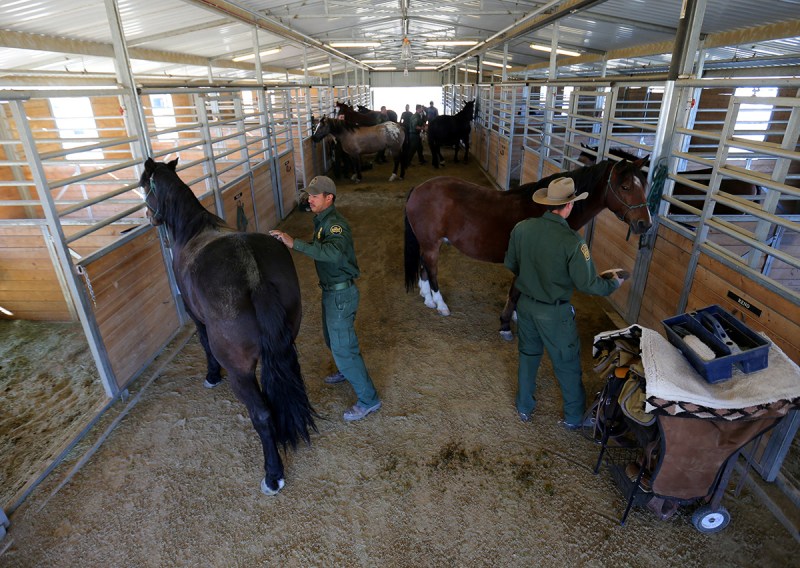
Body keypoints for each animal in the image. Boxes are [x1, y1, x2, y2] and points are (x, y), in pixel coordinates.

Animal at [138, 158, 316, 494]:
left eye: (144, 185)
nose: (149, 217)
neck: (193, 229)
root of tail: (253, 273)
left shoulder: (196, 317)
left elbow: (204, 344)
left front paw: (211, 376)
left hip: (240, 370)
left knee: (262, 413)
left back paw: (273, 475)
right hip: (286, 346)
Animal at [404, 158, 652, 338]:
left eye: (644, 186)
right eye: (625, 186)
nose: (645, 224)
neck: (545, 210)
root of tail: (418, 188)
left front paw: (514, 316)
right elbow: (515, 292)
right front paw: (505, 324)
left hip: (428, 244)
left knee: (424, 267)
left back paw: (427, 299)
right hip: (431, 245)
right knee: (432, 271)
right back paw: (440, 304)